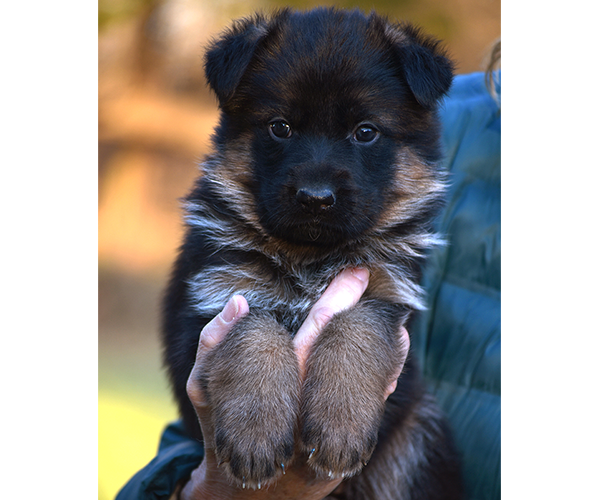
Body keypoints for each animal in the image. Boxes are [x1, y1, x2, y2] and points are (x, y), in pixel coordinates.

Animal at [162, 7, 462, 500]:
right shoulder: (212, 302)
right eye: (280, 127)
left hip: (417, 432)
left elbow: (358, 324)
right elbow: (254, 329)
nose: (315, 198)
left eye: (365, 132)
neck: (309, 255)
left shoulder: (388, 296)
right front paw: (256, 432)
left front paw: (341, 425)